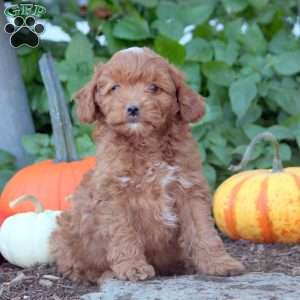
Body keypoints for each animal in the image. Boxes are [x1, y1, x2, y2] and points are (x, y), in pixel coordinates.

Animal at [51, 47, 244, 282]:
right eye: (115, 88)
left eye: (154, 87)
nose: (133, 108)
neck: (145, 144)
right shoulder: (114, 196)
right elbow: (123, 233)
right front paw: (131, 267)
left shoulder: (189, 189)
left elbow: (203, 231)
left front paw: (219, 263)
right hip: (65, 234)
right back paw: (105, 273)